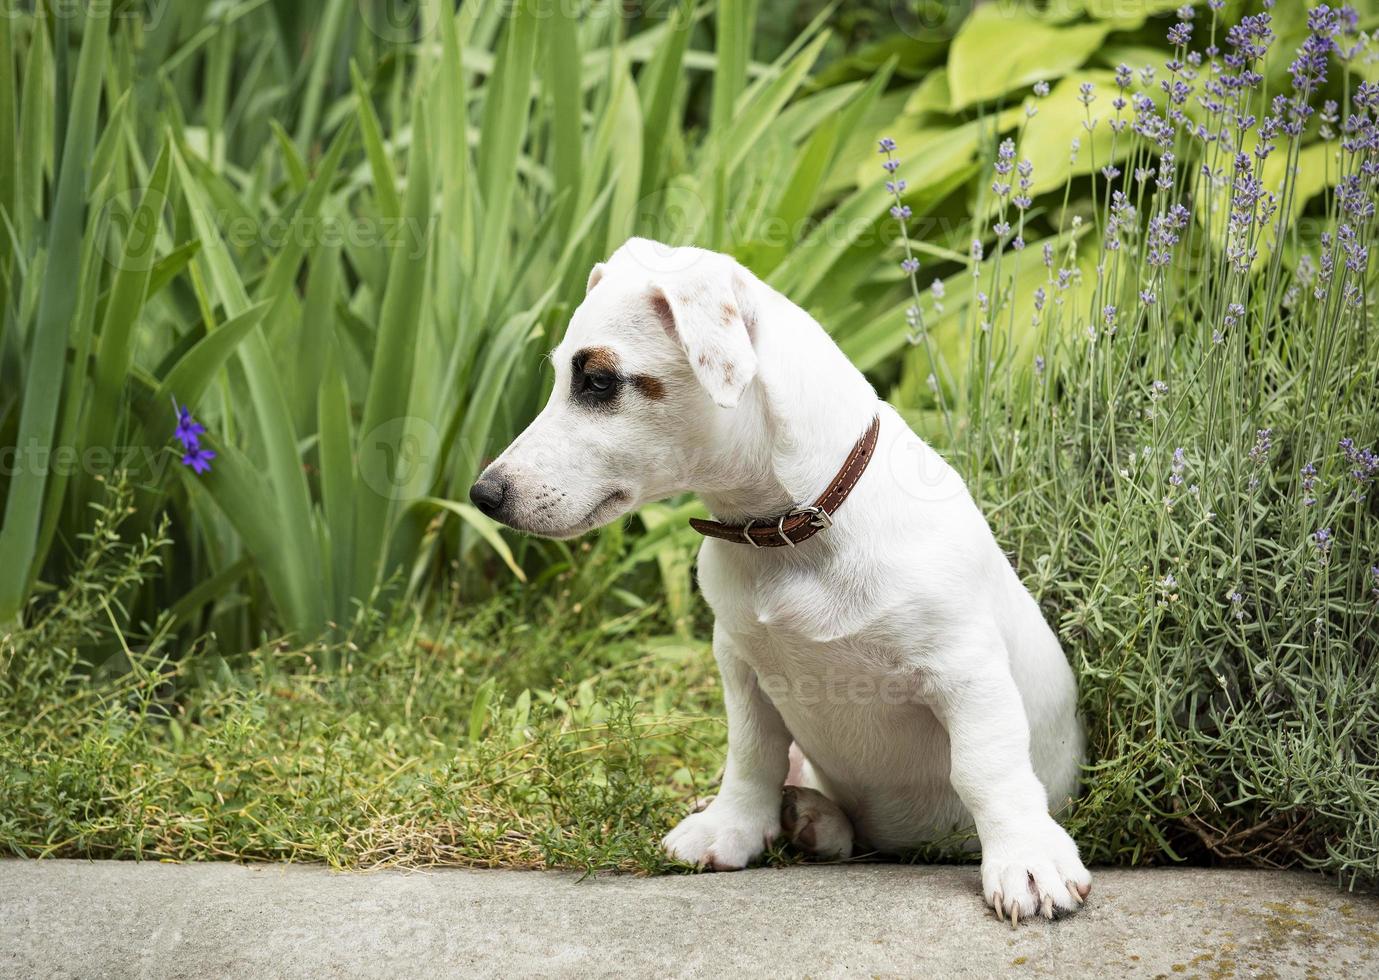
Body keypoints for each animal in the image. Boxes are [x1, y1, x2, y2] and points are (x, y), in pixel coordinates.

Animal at [474, 239, 1086, 926]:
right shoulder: (743, 666)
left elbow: (988, 767)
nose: (484, 495)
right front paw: (731, 827)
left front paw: (1026, 859)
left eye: (599, 381)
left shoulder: (966, 671)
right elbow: (752, 757)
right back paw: (810, 816)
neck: (791, 532)